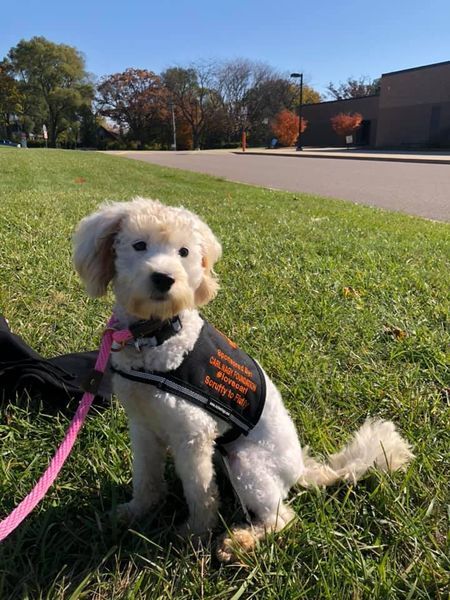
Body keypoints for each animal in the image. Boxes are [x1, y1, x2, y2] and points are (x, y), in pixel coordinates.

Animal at [73, 199, 412, 560]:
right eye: (139, 245)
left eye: (183, 252)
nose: (165, 279)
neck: (159, 337)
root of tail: (300, 469)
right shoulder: (143, 426)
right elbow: (147, 479)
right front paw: (136, 512)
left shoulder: (193, 435)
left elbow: (200, 492)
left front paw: (195, 534)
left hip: (247, 464)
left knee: (282, 517)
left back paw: (240, 541)